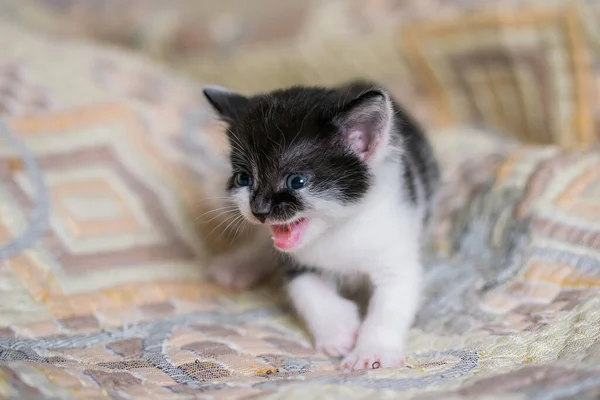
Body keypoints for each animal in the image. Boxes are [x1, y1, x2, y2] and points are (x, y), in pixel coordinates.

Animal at [204, 81, 438, 372]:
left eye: (297, 181)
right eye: (243, 178)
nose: (259, 210)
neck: (338, 230)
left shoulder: (396, 242)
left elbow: (392, 301)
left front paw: (371, 351)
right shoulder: (292, 258)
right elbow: (306, 289)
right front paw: (339, 332)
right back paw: (238, 264)